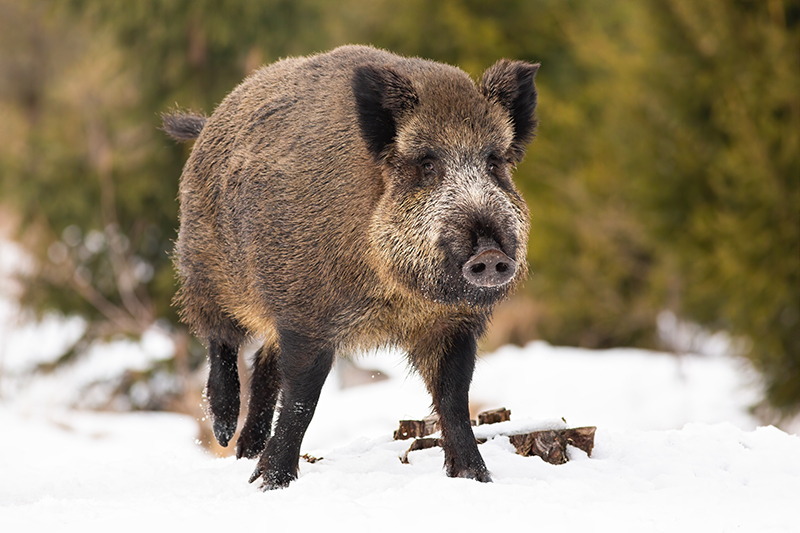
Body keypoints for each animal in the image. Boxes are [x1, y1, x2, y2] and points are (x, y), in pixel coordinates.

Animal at [162, 44, 538, 490]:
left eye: (494, 163)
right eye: (427, 165)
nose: (490, 255)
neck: (395, 297)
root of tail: (210, 123)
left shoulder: (453, 323)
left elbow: (454, 400)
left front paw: (476, 478)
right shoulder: (307, 313)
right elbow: (302, 400)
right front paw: (271, 484)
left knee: (264, 363)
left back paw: (246, 451)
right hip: (204, 266)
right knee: (220, 337)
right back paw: (224, 434)